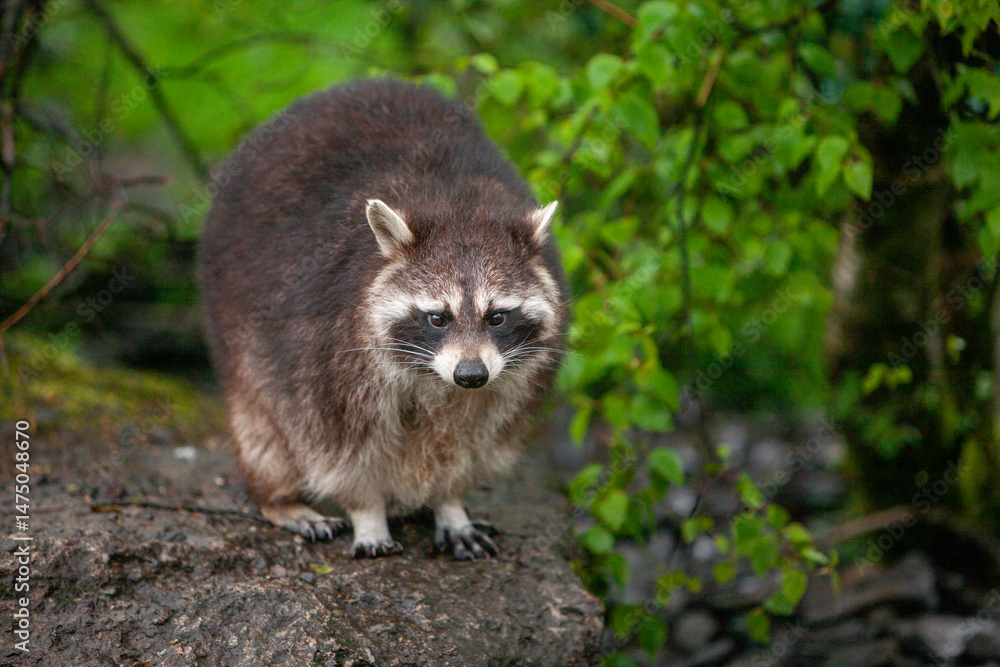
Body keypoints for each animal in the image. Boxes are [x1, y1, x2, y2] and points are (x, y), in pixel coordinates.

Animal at [199, 79, 566, 559]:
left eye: (498, 317)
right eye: (438, 318)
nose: (470, 375)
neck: (460, 210)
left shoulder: (512, 380)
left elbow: (472, 437)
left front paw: (450, 502)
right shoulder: (327, 347)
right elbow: (338, 446)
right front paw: (367, 512)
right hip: (233, 313)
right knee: (260, 424)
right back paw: (278, 498)